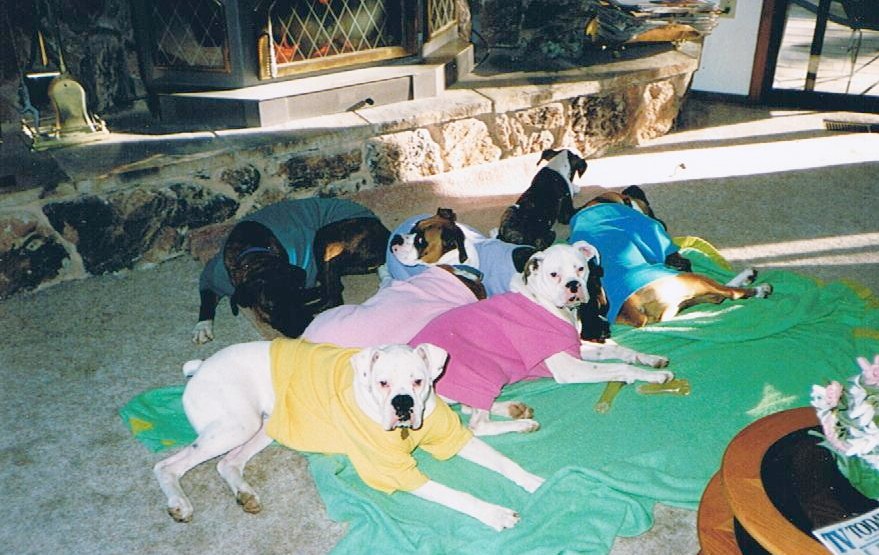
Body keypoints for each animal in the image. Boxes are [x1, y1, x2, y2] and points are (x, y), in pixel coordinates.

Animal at [153, 339, 543, 530]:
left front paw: (537, 483)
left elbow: (503, 463)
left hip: (265, 427)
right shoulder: (396, 474)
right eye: (382, 383)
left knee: (228, 464)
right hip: (237, 425)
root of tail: (201, 366)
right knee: (167, 467)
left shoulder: (452, 437)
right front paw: (495, 514)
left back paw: (245, 494)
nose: (403, 403)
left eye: (418, 381)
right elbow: (457, 496)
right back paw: (179, 504)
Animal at [192, 198, 390, 344]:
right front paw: (202, 326)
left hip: (323, 236)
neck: (254, 253)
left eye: (296, 297)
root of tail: (386, 234)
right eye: (270, 307)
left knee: (333, 296)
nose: (304, 326)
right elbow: (206, 300)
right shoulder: (212, 276)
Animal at [408, 243, 673, 436]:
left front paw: (650, 359)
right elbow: (621, 367)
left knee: (467, 406)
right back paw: (522, 424)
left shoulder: (576, 349)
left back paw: (514, 409)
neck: (547, 303)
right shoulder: (569, 368)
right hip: (483, 371)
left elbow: (620, 351)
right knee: (476, 424)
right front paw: (654, 376)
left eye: (580, 269)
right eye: (554, 274)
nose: (573, 285)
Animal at [569, 185, 773, 327]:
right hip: (692, 279)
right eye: (652, 214)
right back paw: (757, 286)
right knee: (729, 293)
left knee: (717, 295)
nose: (662, 222)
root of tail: (633, 307)